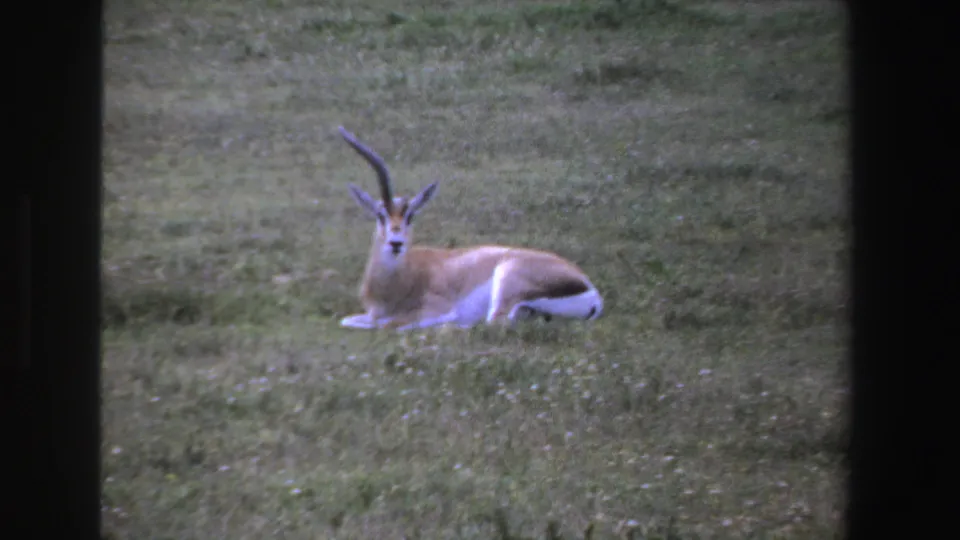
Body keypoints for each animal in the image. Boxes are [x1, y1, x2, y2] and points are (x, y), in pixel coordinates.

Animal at [337, 126, 604, 331]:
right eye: (380, 214)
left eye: (411, 216)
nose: (396, 242)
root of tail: (591, 291)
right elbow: (348, 321)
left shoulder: (437, 308)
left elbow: (388, 325)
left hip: (505, 280)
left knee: (494, 323)